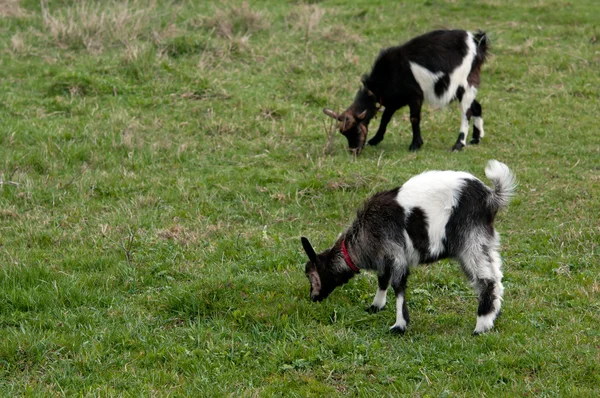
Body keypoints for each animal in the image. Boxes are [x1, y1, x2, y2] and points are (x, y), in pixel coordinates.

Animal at [300, 160, 516, 334]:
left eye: (312, 275)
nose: (313, 298)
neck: (365, 235)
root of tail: (489, 197)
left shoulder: (396, 253)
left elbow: (398, 286)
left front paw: (399, 325)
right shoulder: (385, 256)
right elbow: (383, 279)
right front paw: (376, 306)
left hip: (470, 240)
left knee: (486, 280)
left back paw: (481, 326)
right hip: (486, 243)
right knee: (497, 276)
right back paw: (493, 316)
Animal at [324, 28, 488, 154]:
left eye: (357, 131)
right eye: (343, 133)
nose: (354, 151)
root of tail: (476, 42)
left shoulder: (415, 96)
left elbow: (414, 118)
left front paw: (415, 145)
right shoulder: (394, 101)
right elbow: (385, 119)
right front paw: (375, 140)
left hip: (464, 82)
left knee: (466, 112)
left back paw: (459, 144)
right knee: (476, 107)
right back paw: (476, 138)